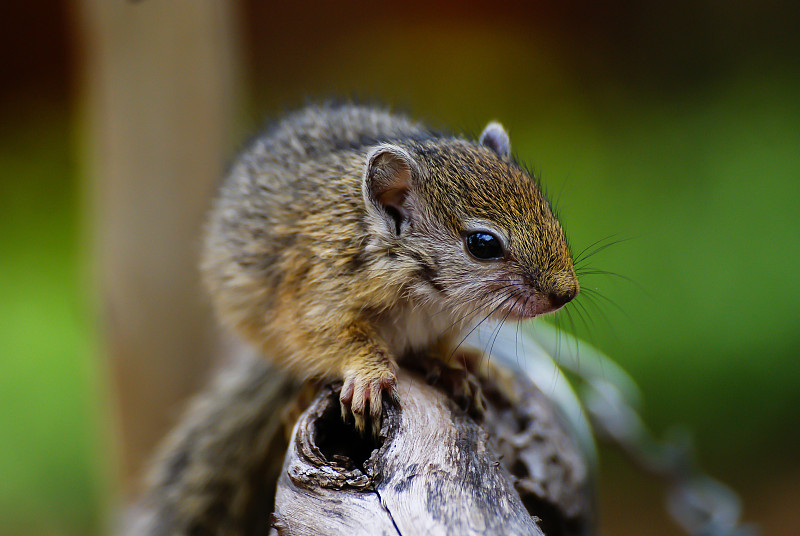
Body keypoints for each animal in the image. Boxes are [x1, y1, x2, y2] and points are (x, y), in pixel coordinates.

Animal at [199, 102, 576, 434]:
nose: (566, 293)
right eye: (483, 244)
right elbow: (335, 339)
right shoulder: (311, 300)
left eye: (546, 208)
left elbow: (434, 348)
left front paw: (448, 367)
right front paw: (369, 376)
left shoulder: (443, 325)